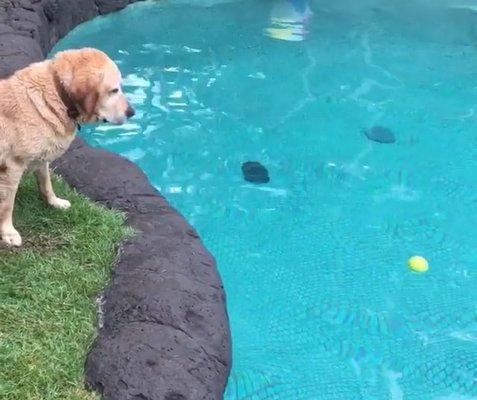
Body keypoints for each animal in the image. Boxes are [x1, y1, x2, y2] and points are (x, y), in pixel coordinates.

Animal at [0, 47, 135, 247]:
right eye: (114, 90)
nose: (132, 112)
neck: (58, 94)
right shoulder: (12, 166)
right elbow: (7, 205)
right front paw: (8, 232)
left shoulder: (42, 158)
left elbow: (46, 183)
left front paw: (54, 202)